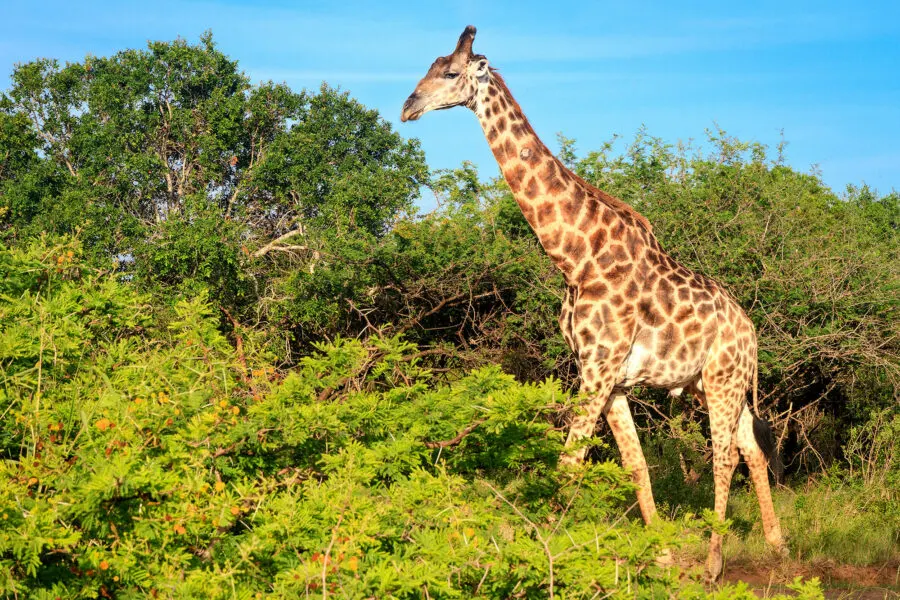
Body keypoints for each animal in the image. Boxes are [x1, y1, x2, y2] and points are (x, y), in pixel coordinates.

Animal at [400, 25, 788, 580]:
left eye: (451, 72)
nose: (407, 106)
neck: (574, 257)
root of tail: (752, 333)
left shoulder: (600, 367)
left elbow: (568, 461)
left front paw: (536, 562)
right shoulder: (607, 375)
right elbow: (634, 463)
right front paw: (660, 556)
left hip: (722, 379)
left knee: (724, 456)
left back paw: (715, 563)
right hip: (708, 383)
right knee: (750, 449)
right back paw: (777, 545)